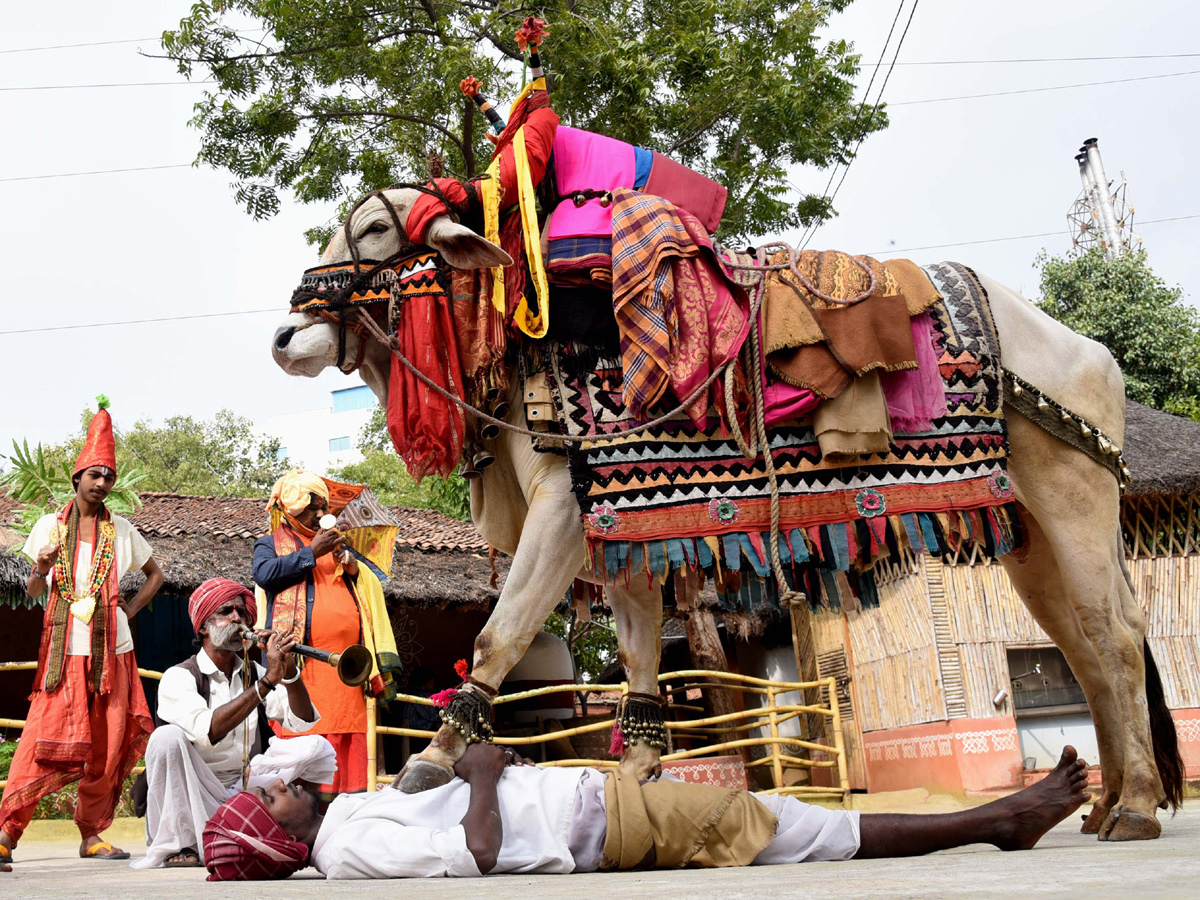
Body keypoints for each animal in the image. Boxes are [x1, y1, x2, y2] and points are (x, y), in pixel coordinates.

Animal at [270, 26, 1180, 844]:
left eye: (377, 230)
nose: (286, 336)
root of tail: (1083, 347)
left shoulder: (565, 511)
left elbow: (500, 631)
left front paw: (432, 761)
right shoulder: (618, 528)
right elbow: (639, 656)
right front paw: (637, 779)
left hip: (1075, 494)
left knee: (1112, 632)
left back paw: (1134, 806)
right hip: (1027, 529)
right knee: (1079, 642)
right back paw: (1101, 800)